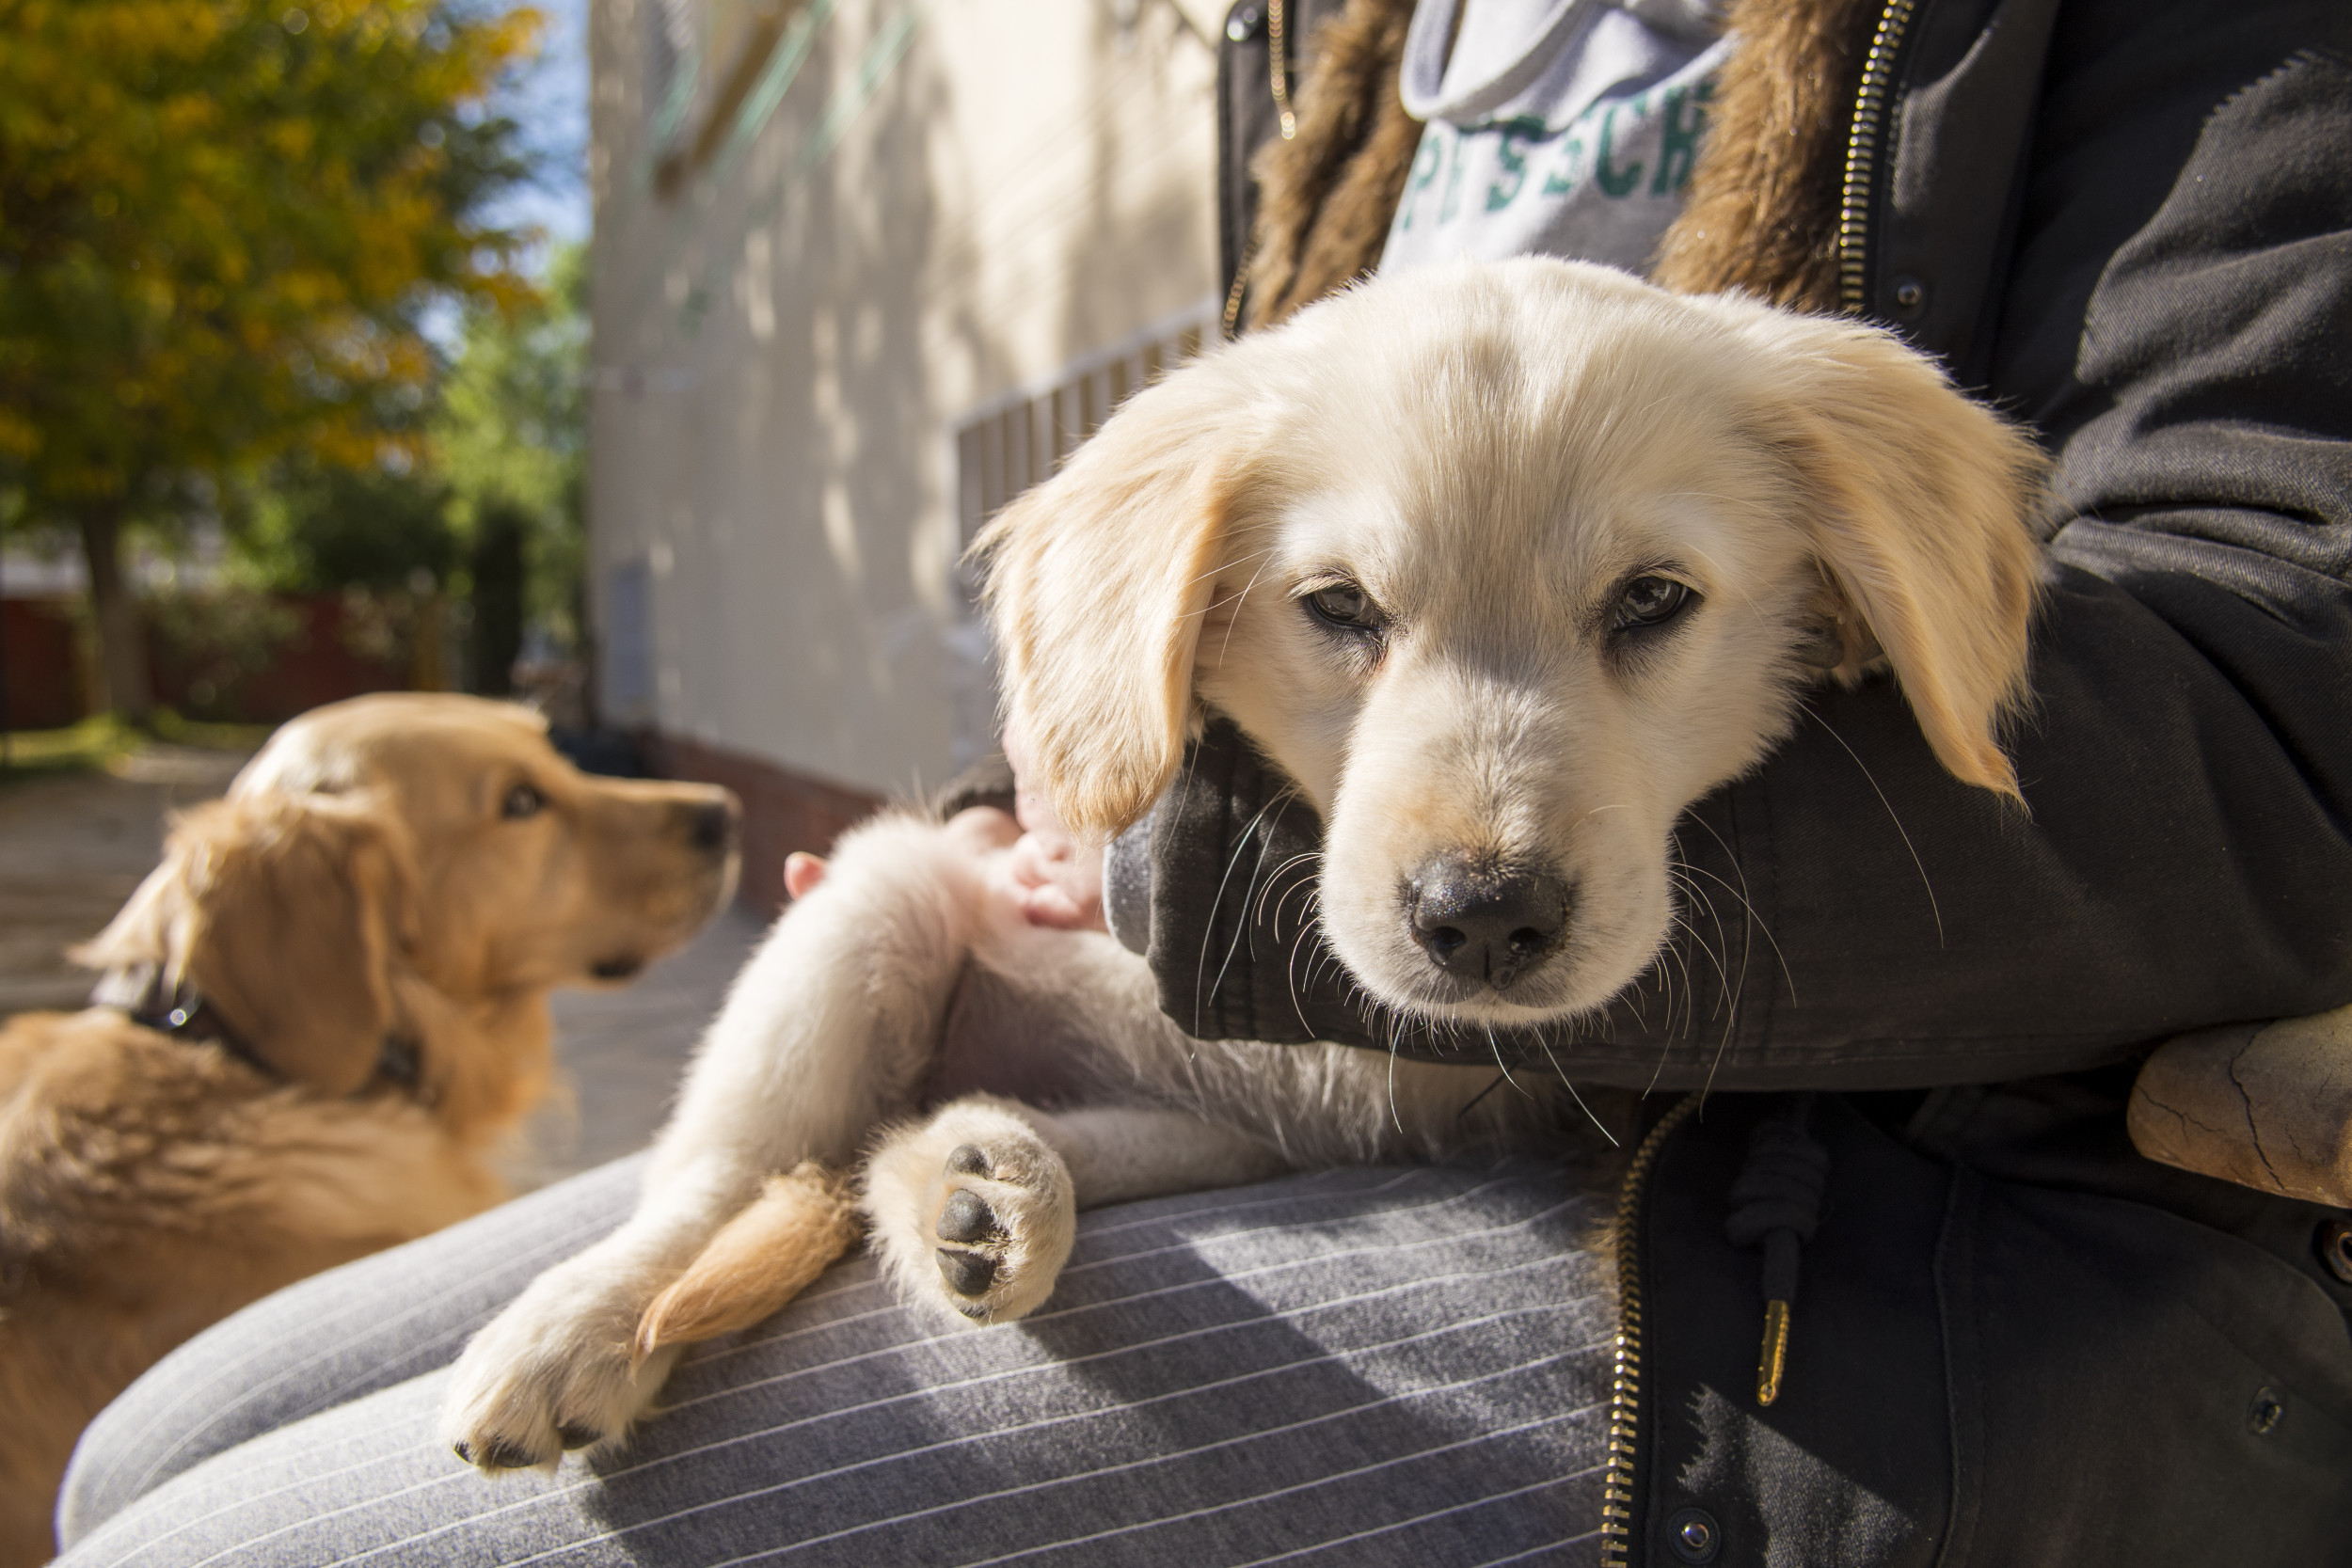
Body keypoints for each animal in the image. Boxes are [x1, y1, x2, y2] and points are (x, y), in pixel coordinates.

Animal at [437, 257, 2042, 1476]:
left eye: (1653, 600)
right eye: (1338, 606)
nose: (1481, 920)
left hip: (1215, 1127)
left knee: (890, 1146)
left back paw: (979, 1186)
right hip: (876, 904)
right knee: (720, 1175)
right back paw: (578, 1326)